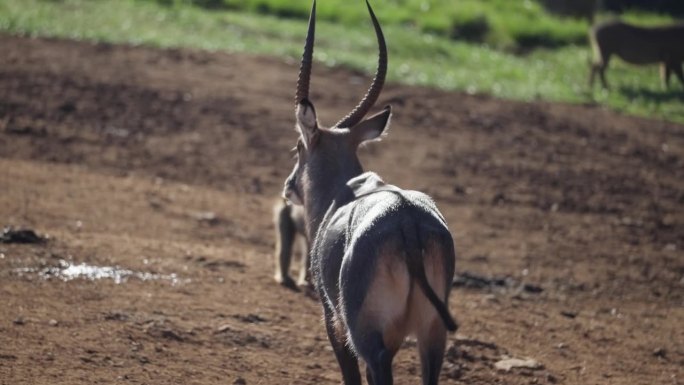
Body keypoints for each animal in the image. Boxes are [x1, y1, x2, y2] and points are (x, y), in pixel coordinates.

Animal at [284, 1, 460, 382]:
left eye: (297, 148)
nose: (288, 187)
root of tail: (407, 221)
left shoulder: (332, 321)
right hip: (432, 334)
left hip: (367, 336)